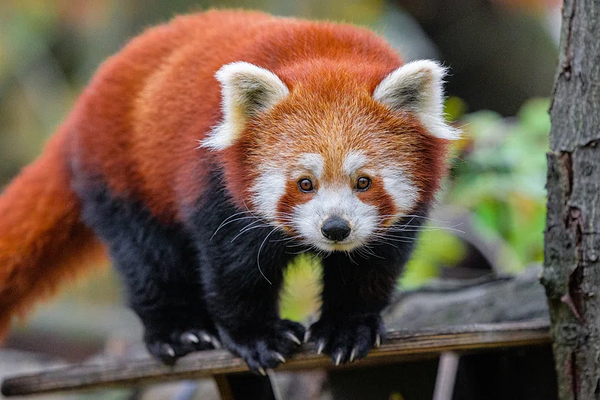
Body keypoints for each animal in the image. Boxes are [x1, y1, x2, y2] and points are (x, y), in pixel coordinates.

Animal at [0, 10, 458, 372]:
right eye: (304, 184)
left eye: (363, 181)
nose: (335, 228)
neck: (327, 52)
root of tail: (84, 107)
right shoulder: (214, 185)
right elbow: (233, 270)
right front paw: (258, 336)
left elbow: (370, 269)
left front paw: (348, 329)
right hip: (125, 172)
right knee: (149, 258)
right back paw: (178, 331)